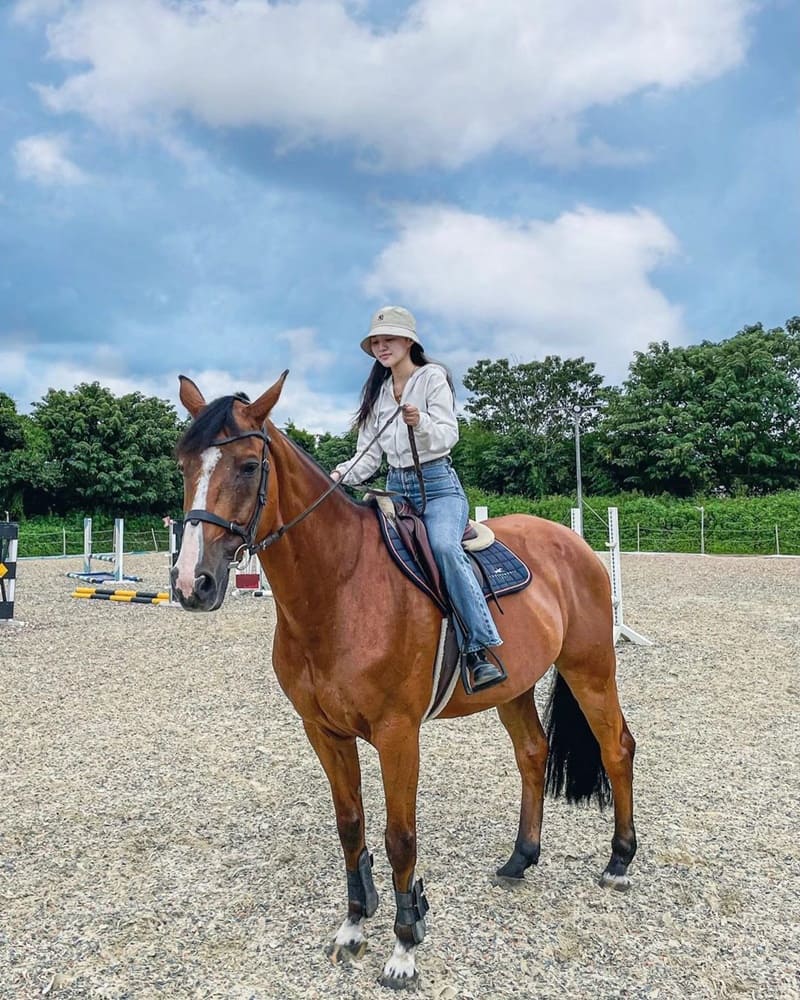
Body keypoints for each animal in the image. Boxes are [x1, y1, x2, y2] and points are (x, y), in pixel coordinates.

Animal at [172, 374, 636, 992]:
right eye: (183, 464)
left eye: (249, 465)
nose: (190, 583)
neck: (341, 587)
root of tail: (576, 544)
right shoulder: (323, 731)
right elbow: (350, 826)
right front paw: (353, 926)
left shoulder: (398, 735)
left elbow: (400, 838)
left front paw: (405, 944)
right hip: (513, 689)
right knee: (533, 753)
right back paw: (521, 858)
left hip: (591, 669)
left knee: (616, 748)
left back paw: (619, 862)